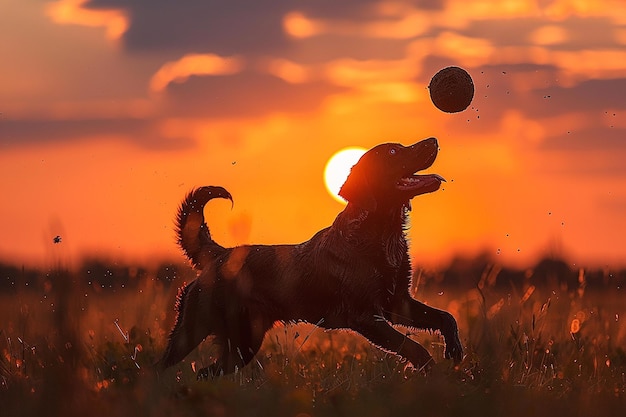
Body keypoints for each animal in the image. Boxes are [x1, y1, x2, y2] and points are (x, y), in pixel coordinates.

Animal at [156, 136, 458, 374]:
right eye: (394, 152)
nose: (434, 140)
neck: (380, 235)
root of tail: (221, 254)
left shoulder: (397, 303)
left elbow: (446, 317)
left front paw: (454, 352)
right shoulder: (366, 317)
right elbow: (414, 348)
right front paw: (433, 372)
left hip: (244, 343)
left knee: (206, 372)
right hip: (193, 329)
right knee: (160, 367)